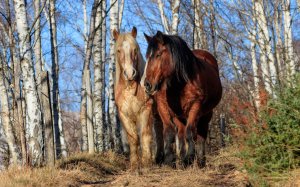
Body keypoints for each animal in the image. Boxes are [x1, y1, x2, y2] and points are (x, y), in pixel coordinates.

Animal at [112, 27, 164, 172]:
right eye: (118, 50)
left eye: (135, 50)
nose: (130, 73)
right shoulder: (124, 114)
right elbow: (133, 138)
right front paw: (135, 165)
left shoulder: (145, 110)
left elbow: (145, 136)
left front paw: (146, 164)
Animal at [142, 31, 221, 167]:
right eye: (147, 57)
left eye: (158, 55)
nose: (147, 84)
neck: (179, 83)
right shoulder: (164, 106)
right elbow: (169, 133)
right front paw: (170, 160)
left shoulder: (195, 105)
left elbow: (191, 132)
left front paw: (189, 158)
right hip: (179, 116)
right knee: (181, 133)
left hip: (206, 114)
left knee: (201, 134)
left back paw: (200, 161)